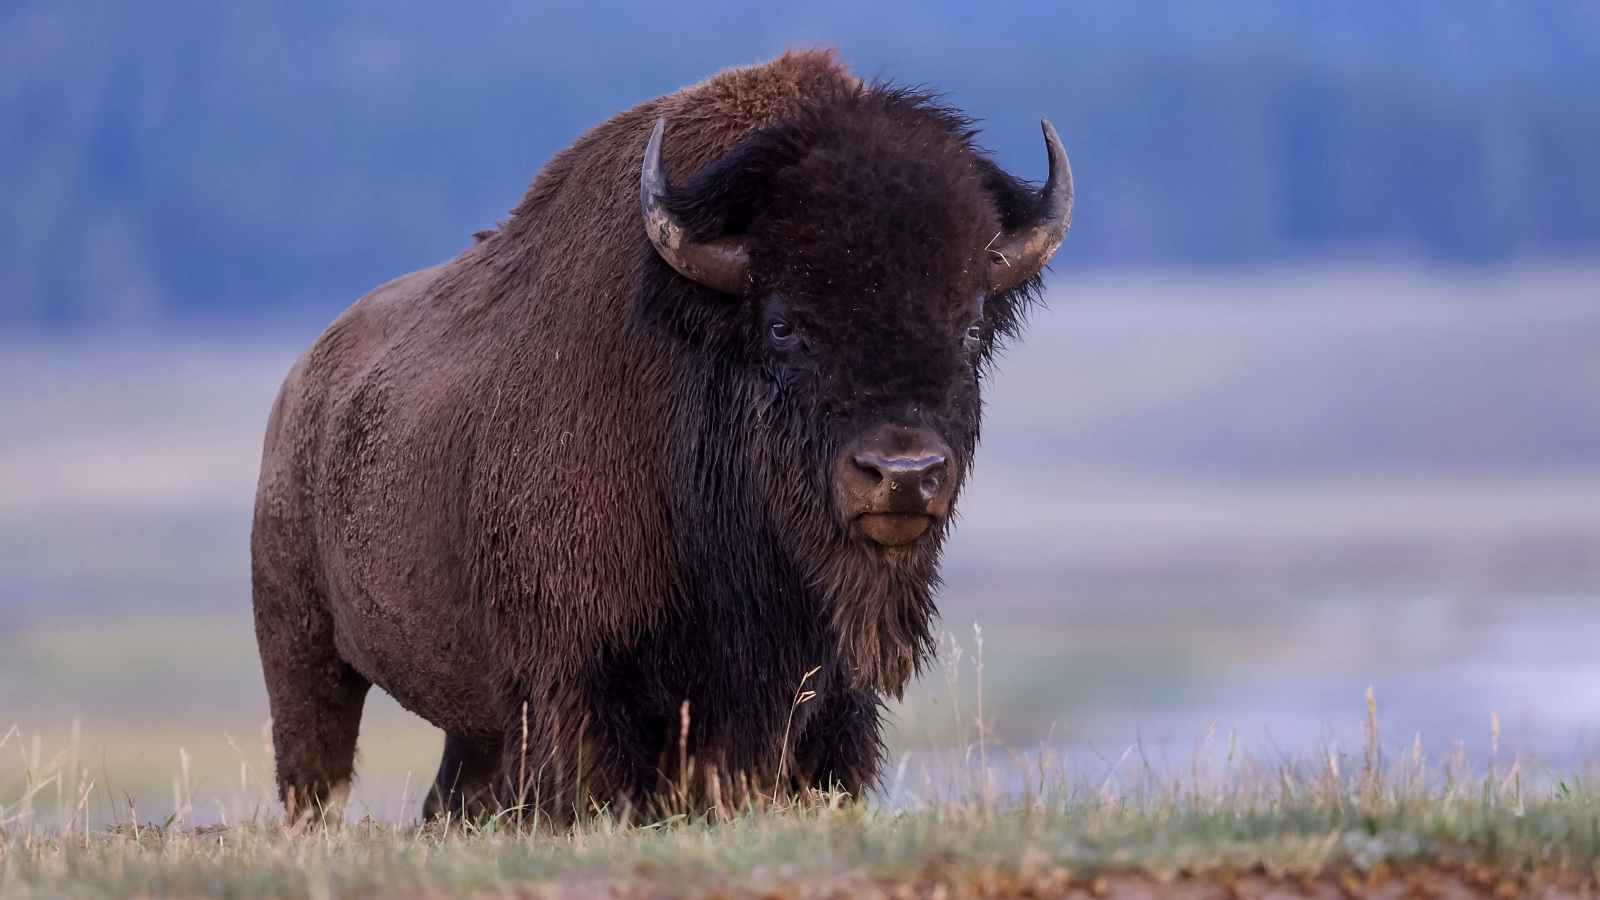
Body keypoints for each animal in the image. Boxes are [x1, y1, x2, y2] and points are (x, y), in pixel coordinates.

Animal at [251, 48, 1071, 824]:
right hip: (303, 654)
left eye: (971, 327)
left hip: (468, 727)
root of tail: (299, 386)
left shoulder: (825, 704)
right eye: (782, 324)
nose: (902, 474)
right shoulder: (577, 689)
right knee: (315, 773)